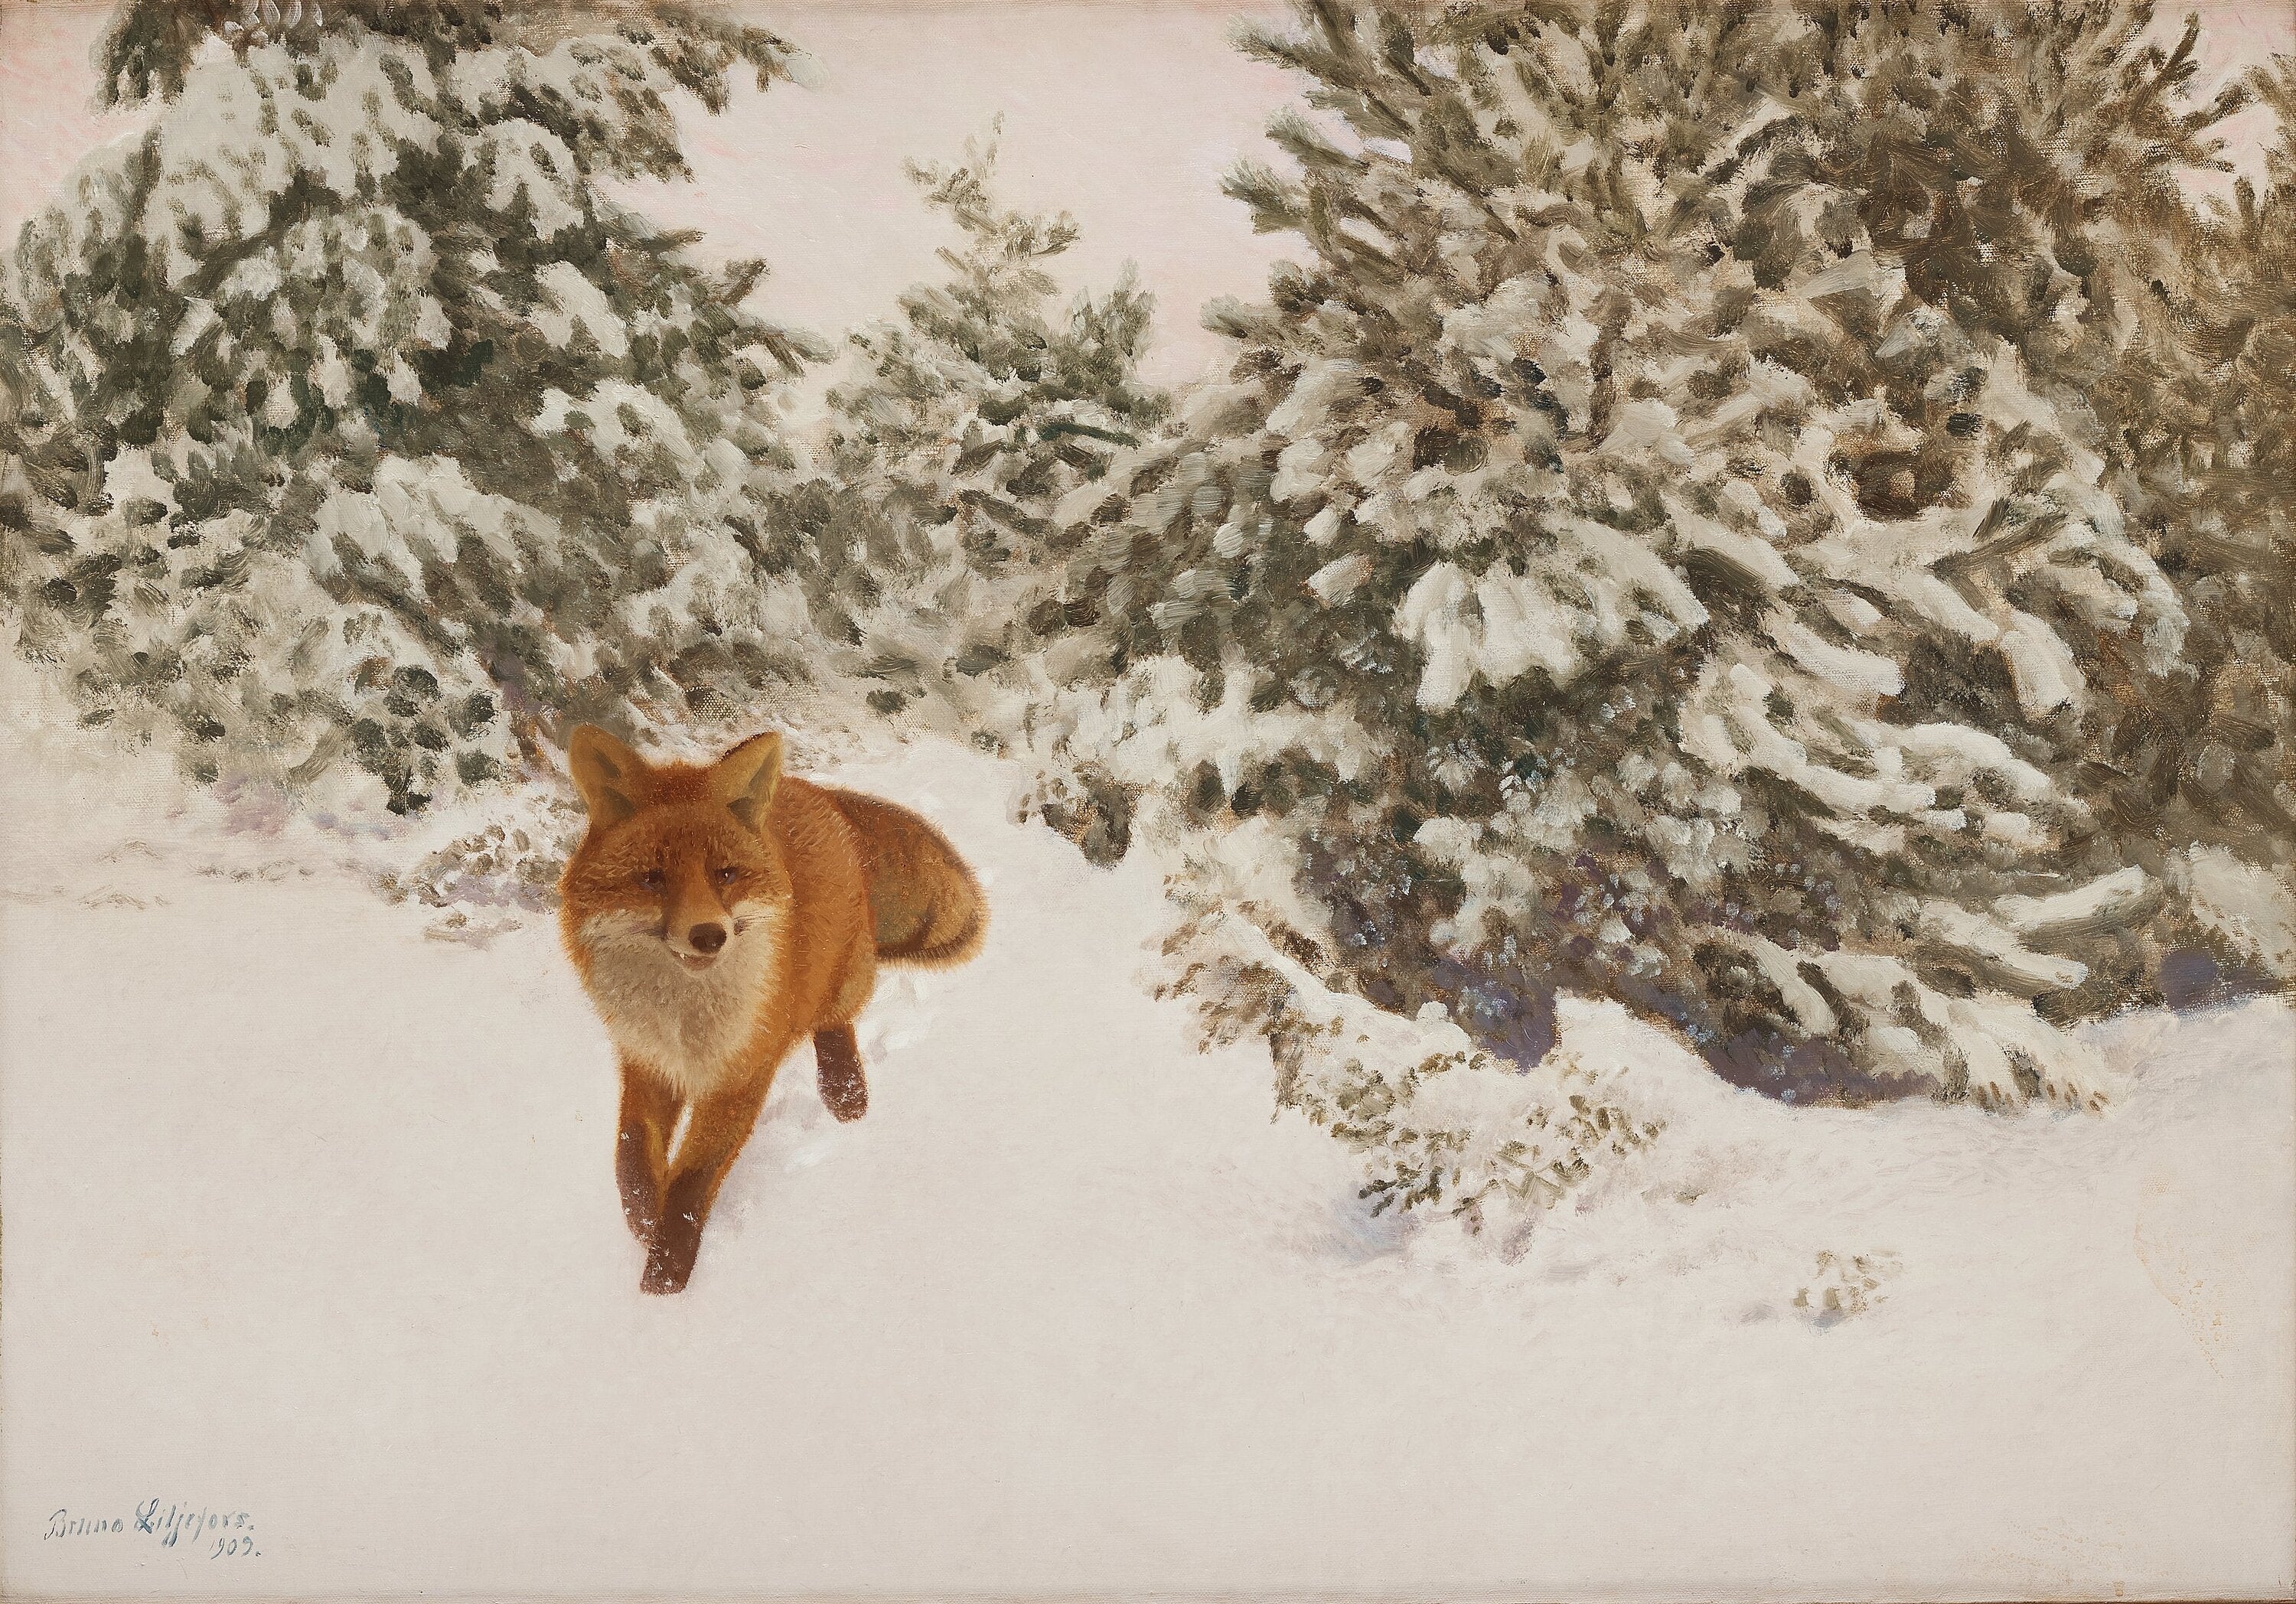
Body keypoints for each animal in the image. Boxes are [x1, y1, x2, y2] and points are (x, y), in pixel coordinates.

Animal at [558, 724, 986, 1294]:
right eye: (652, 879)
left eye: (725, 874)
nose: (709, 935)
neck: (686, 1024)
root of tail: (815, 790)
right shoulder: (647, 1060)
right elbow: (630, 1158)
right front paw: (645, 1224)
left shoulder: (742, 1074)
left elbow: (691, 1183)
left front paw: (664, 1281)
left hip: (842, 972)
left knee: (834, 1021)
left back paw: (845, 1094)